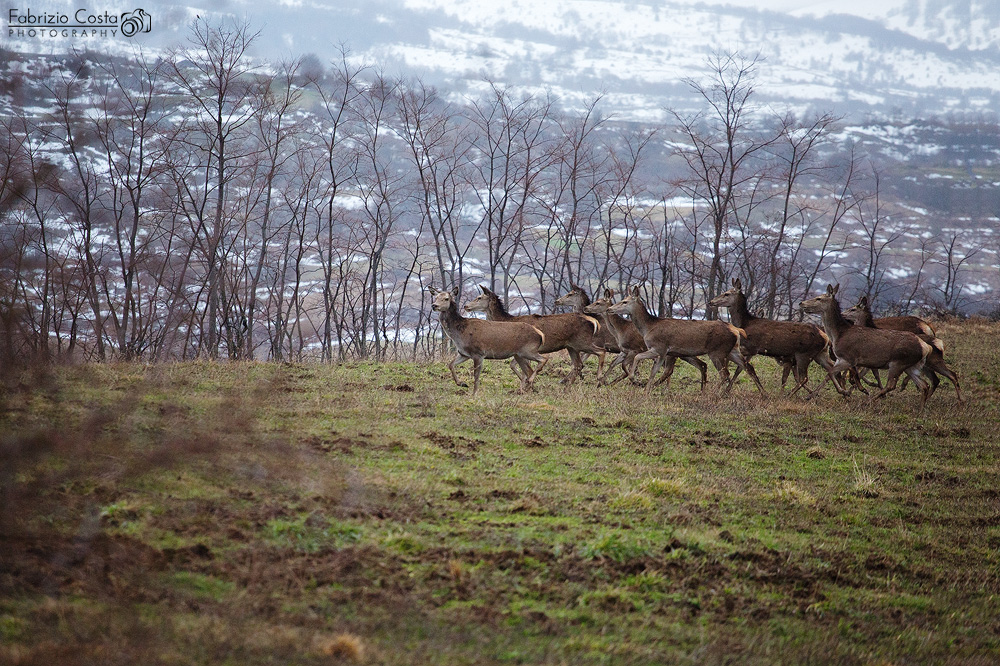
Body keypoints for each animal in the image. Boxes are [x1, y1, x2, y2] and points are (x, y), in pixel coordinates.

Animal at [462, 282, 596, 382]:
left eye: (479, 297)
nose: (465, 306)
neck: (508, 320)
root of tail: (591, 320)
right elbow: (514, 365)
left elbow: (521, 367)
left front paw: (526, 382)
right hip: (571, 346)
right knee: (578, 364)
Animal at [600, 286, 764, 394]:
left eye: (625, 302)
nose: (609, 309)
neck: (649, 327)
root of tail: (737, 330)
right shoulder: (664, 353)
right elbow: (654, 371)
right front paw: (646, 390)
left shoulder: (659, 347)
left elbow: (640, 359)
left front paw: (636, 380)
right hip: (732, 350)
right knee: (747, 367)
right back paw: (763, 394)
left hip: (717, 351)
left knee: (725, 374)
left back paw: (713, 395)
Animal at [708, 276, 840, 394]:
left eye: (726, 294)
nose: (711, 302)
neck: (745, 323)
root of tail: (825, 337)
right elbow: (740, 369)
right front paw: (727, 390)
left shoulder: (751, 347)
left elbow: (742, 368)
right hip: (819, 354)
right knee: (831, 368)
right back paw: (836, 392)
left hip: (804, 354)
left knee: (804, 378)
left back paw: (790, 395)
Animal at [796, 282, 936, 408]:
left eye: (818, 298)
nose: (801, 303)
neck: (839, 335)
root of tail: (926, 347)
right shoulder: (840, 359)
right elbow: (830, 374)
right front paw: (811, 395)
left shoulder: (849, 358)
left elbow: (831, 373)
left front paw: (845, 392)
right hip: (911, 366)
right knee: (924, 385)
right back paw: (920, 410)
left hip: (898, 362)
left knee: (891, 385)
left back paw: (867, 402)